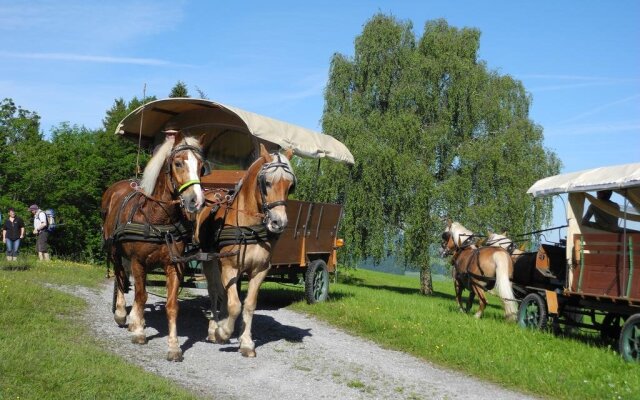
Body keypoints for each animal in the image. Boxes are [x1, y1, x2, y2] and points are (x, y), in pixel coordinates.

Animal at [102, 133, 205, 360]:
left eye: (202, 167)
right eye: (178, 163)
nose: (196, 201)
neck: (158, 218)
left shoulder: (174, 265)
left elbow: (171, 305)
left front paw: (174, 346)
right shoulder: (138, 262)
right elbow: (141, 296)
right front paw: (139, 331)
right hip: (115, 251)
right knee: (120, 277)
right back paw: (122, 313)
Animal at [194, 145, 296, 358]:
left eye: (290, 186)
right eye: (267, 182)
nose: (279, 223)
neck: (250, 227)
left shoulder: (260, 271)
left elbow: (248, 305)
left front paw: (246, 342)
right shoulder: (230, 267)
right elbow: (235, 305)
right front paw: (223, 332)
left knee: (223, 292)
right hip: (209, 260)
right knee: (214, 291)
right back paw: (214, 328)